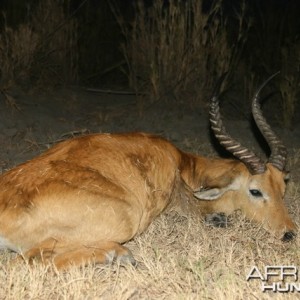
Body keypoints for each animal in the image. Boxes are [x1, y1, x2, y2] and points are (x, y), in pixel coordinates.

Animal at [0, 73, 296, 270]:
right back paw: (118, 255)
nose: (290, 233)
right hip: (125, 219)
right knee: (25, 262)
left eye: (282, 187)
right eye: (255, 191)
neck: (182, 163)